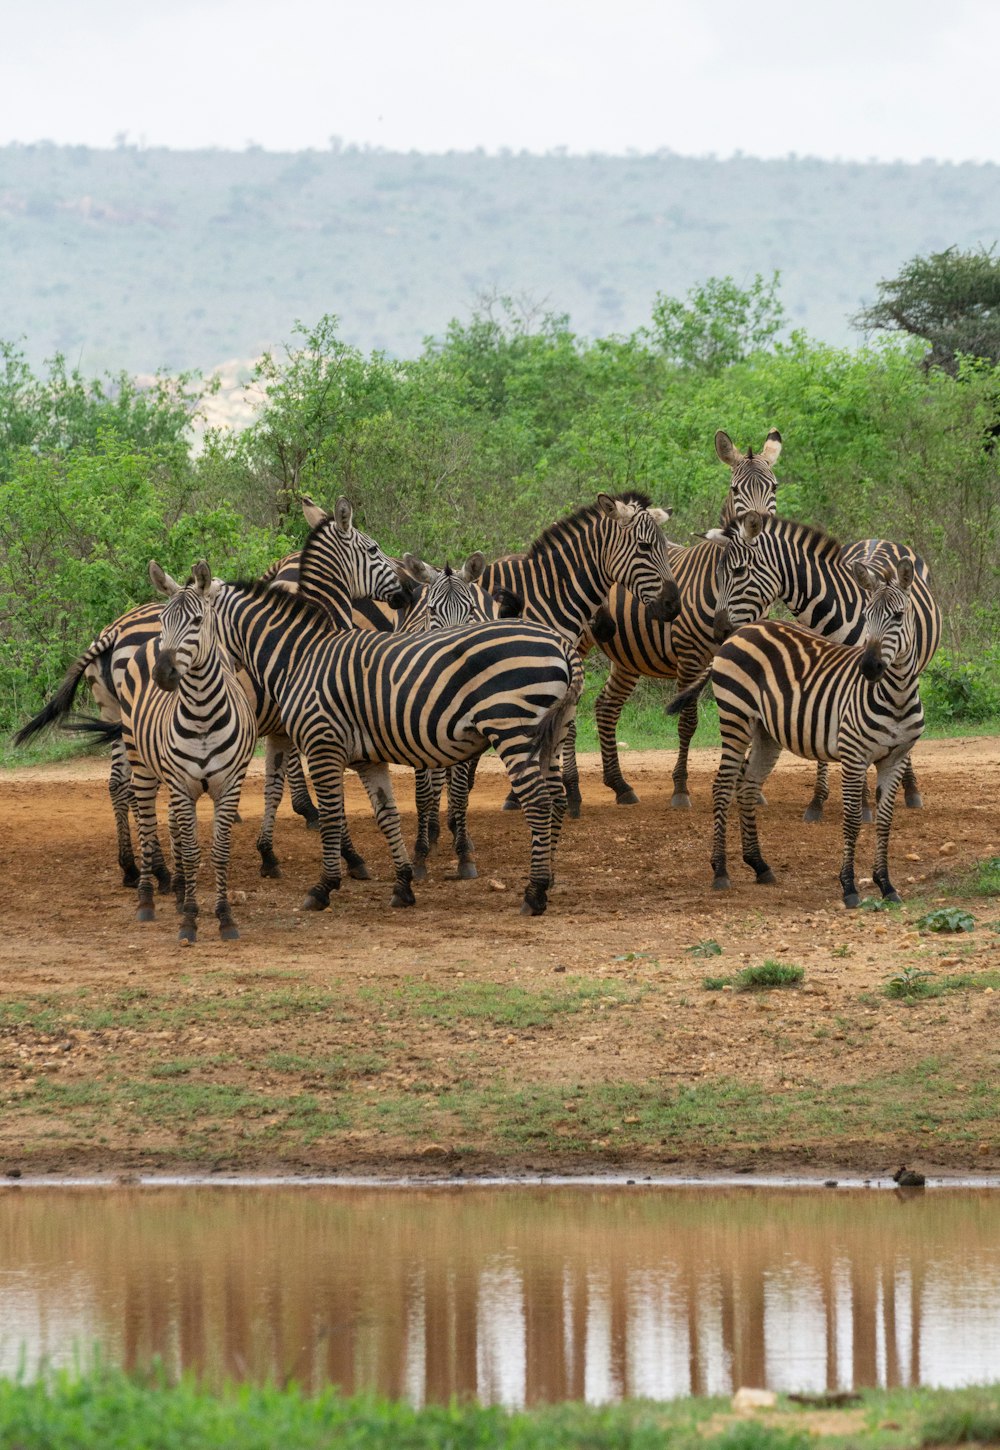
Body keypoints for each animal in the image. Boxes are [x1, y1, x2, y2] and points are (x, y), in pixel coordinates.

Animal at [76, 559, 259, 945]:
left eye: (197, 621)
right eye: (163, 621)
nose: (163, 674)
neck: (203, 714)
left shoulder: (229, 786)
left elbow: (219, 851)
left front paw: (224, 917)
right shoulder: (181, 785)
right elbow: (190, 853)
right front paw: (189, 918)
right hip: (140, 762)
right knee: (144, 818)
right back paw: (146, 893)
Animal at [200, 582, 585, 910]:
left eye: (196, 624)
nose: (174, 678)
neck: (300, 659)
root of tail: (561, 643)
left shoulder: (324, 744)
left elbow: (331, 816)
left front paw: (324, 887)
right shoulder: (364, 758)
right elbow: (387, 815)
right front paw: (403, 884)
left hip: (513, 729)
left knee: (539, 802)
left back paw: (534, 893)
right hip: (550, 735)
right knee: (555, 800)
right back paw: (547, 879)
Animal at [666, 556, 921, 904]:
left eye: (897, 616)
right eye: (867, 617)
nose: (868, 667)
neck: (895, 696)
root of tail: (741, 631)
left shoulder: (895, 760)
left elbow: (884, 822)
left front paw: (886, 885)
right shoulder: (854, 757)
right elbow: (853, 820)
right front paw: (849, 887)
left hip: (765, 733)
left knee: (747, 788)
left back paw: (759, 865)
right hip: (736, 717)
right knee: (722, 787)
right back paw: (720, 871)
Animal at [701, 519, 933, 817]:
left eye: (739, 570)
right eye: (717, 575)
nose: (720, 631)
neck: (835, 616)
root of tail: (879, 539)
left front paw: (863, 804)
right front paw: (819, 801)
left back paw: (911, 789)